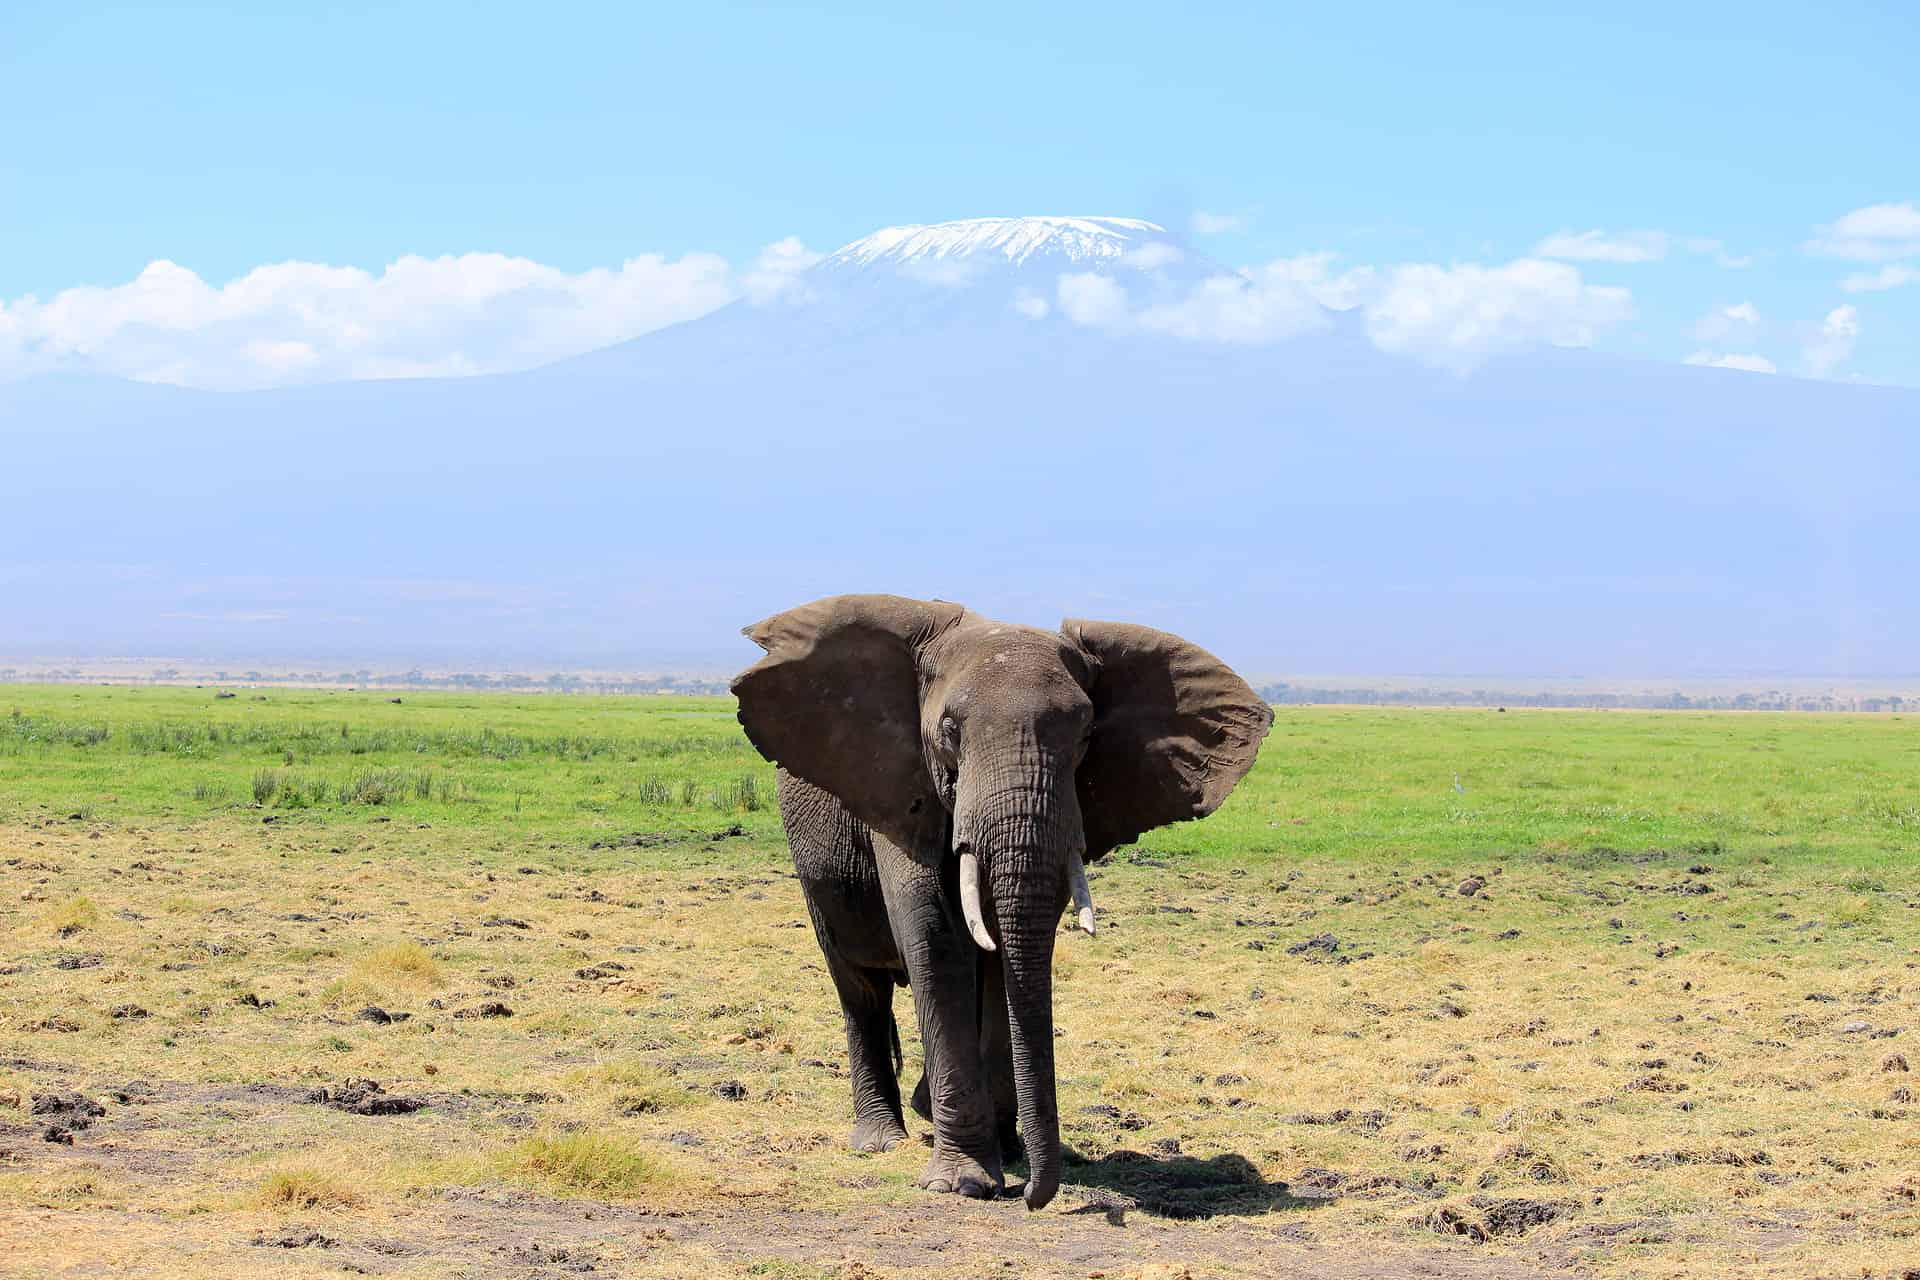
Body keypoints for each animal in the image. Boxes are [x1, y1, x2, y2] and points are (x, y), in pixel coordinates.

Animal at [737, 594, 1274, 1205]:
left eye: (1086, 734)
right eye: (949, 729)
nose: (1035, 1196)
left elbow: (1002, 954)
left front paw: (1007, 1154)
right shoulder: (899, 785)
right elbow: (935, 935)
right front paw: (964, 1183)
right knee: (860, 987)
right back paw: (881, 1141)